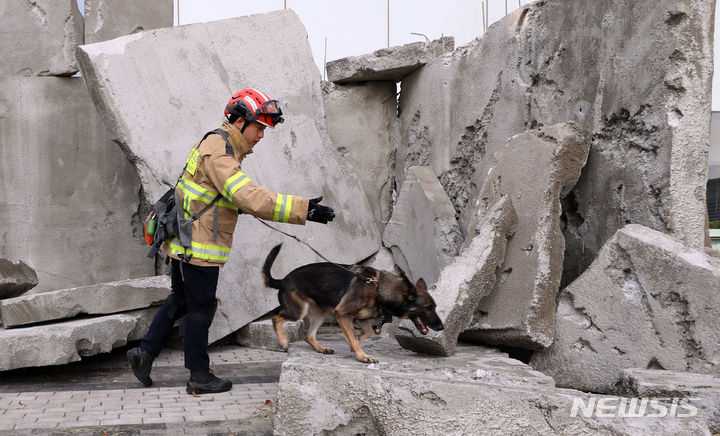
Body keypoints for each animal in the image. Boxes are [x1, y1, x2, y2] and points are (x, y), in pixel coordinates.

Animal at [264, 244, 444, 362]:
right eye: (427, 308)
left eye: (435, 307)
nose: (441, 327)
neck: (378, 288)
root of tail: (283, 280)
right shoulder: (343, 315)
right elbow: (354, 336)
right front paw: (362, 355)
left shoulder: (361, 319)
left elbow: (365, 334)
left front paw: (354, 343)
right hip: (298, 311)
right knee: (276, 319)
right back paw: (283, 341)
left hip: (320, 315)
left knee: (308, 336)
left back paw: (321, 348)